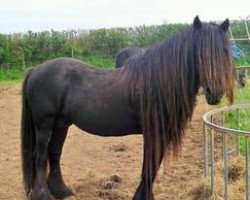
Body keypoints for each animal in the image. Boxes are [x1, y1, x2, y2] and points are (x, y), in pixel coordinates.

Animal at [21, 16, 234, 199]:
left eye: (225, 51)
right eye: (200, 53)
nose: (215, 93)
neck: (157, 82)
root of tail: (35, 70)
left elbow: (152, 166)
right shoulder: (153, 133)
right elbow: (149, 167)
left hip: (61, 124)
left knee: (54, 153)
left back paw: (61, 191)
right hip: (44, 124)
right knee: (39, 156)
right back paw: (43, 195)